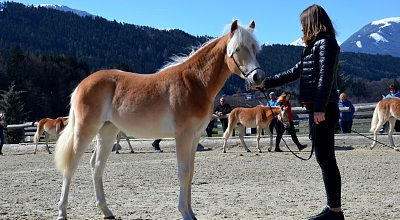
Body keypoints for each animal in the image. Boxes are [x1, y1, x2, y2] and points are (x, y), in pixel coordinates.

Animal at [53, 20, 266, 220]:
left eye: (254, 48)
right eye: (237, 49)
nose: (258, 76)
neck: (194, 83)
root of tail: (82, 85)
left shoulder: (195, 137)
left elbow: (191, 173)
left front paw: (192, 213)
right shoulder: (182, 136)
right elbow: (183, 172)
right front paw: (184, 213)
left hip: (107, 132)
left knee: (96, 166)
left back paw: (106, 211)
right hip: (85, 130)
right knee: (71, 166)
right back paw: (62, 212)